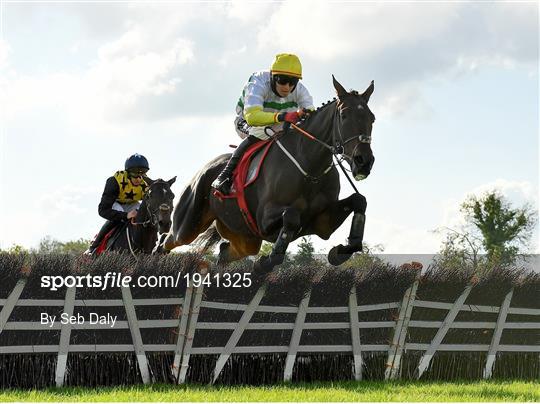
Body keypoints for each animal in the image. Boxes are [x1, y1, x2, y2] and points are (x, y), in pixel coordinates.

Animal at [165, 76, 376, 272]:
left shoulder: (321, 223)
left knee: (225, 252)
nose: (364, 161)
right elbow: (291, 215)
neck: (309, 168)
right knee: (168, 241)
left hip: (246, 238)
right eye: (344, 114)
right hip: (187, 226)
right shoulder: (264, 220)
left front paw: (342, 250)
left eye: (372, 118)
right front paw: (267, 261)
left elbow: (359, 201)